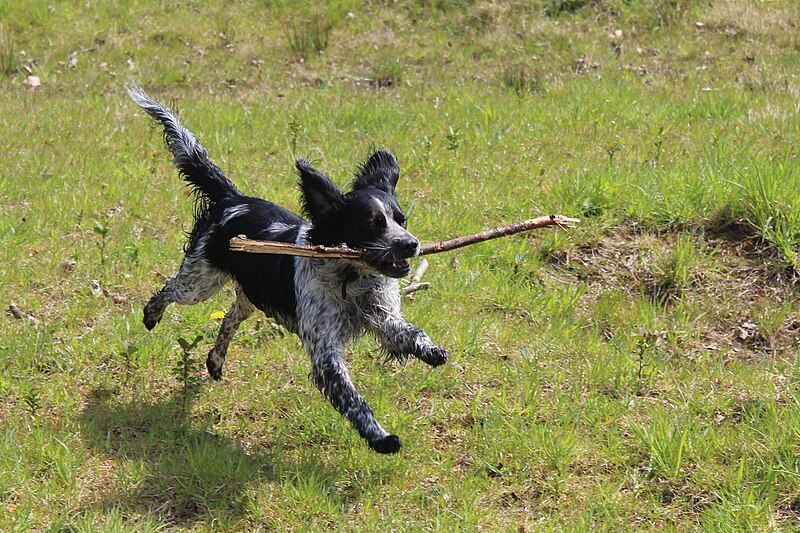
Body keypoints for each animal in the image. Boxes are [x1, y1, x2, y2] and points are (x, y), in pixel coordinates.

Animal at [128, 87, 446, 454]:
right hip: (199, 282)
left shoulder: (382, 315)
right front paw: (380, 438)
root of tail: (232, 198)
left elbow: (408, 332)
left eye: (401, 220)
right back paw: (151, 315)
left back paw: (215, 360)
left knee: (231, 315)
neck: (350, 276)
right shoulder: (325, 352)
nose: (411, 244)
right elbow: (353, 400)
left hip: (250, 292)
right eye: (372, 225)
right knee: (169, 289)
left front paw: (431, 350)